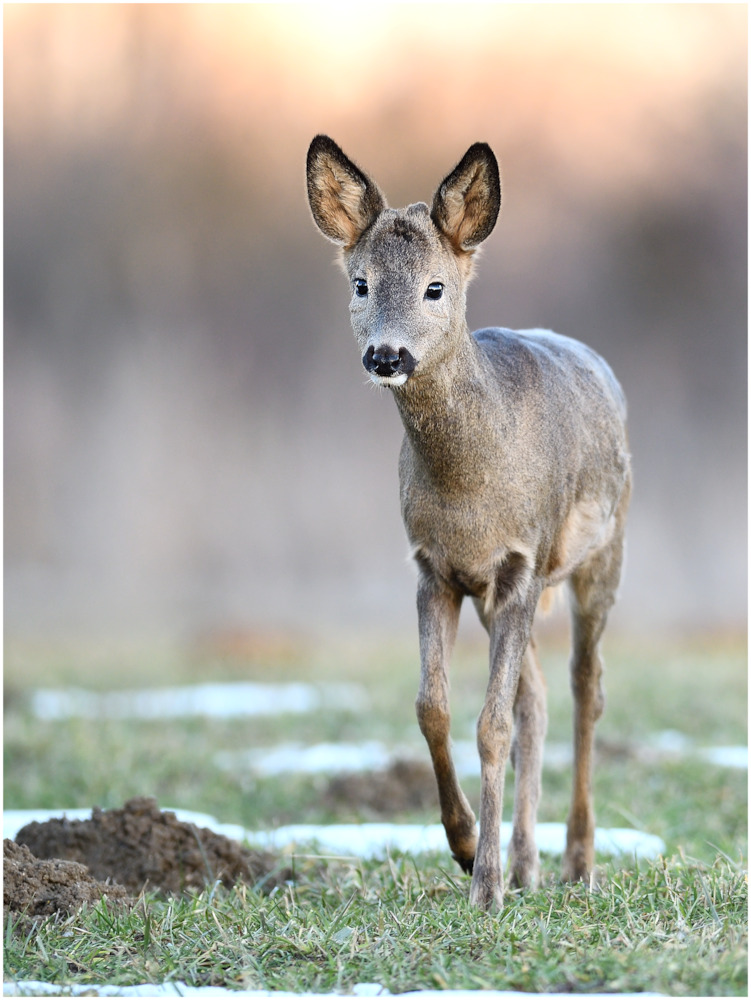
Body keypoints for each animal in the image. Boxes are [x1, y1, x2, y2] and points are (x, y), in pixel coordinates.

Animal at [308, 135, 632, 916]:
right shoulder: (435, 567)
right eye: (360, 283)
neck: (469, 493)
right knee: (538, 698)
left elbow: (493, 723)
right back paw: (528, 864)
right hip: (499, 595)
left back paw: (577, 860)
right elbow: (434, 707)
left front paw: (484, 886)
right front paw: (463, 847)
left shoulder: (520, 561)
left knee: (585, 687)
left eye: (435, 287)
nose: (386, 355)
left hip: (600, 557)